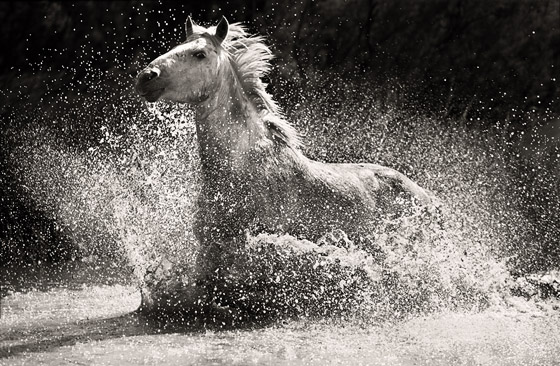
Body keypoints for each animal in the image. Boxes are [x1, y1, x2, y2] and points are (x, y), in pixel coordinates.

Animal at [137, 16, 438, 312]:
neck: (240, 169)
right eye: (176, 46)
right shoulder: (209, 247)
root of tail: (428, 197)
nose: (146, 77)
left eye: (199, 54)